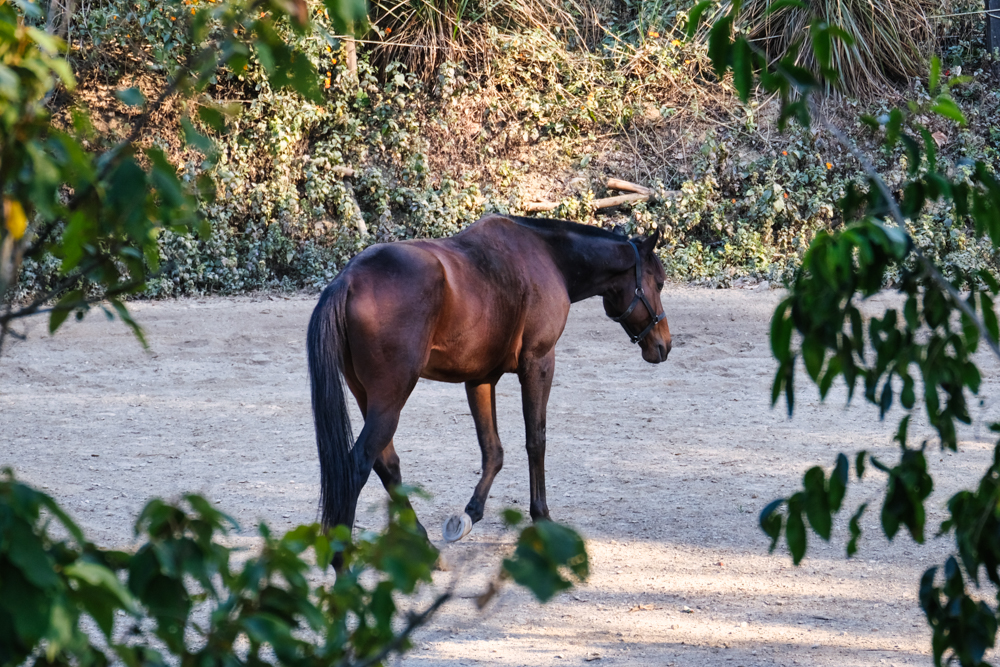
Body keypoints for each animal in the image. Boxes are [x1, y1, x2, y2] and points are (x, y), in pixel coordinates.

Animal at [308, 211, 672, 544]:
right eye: (659, 282)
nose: (664, 345)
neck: (546, 256)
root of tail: (349, 279)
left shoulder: (480, 379)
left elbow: (492, 450)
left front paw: (470, 514)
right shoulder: (539, 364)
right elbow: (535, 440)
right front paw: (541, 515)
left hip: (370, 398)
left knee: (386, 462)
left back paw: (419, 536)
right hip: (390, 401)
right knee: (357, 467)